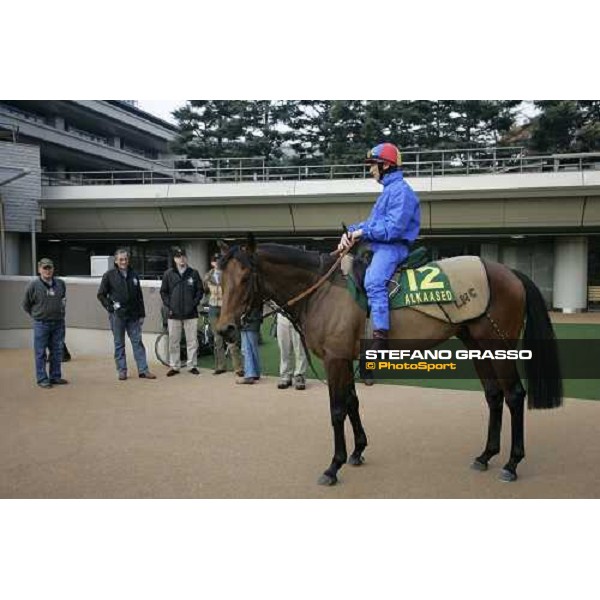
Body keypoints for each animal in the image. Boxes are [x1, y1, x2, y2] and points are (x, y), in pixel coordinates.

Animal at [216, 237, 564, 486]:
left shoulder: (335, 359)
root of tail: (510, 272)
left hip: (498, 346)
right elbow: (352, 403)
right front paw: (358, 450)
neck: (323, 290)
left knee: (514, 395)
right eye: (220, 279)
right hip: (476, 344)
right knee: (493, 395)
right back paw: (486, 455)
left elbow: (337, 409)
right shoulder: (345, 359)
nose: (225, 329)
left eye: (245, 278)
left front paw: (334, 465)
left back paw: (512, 463)